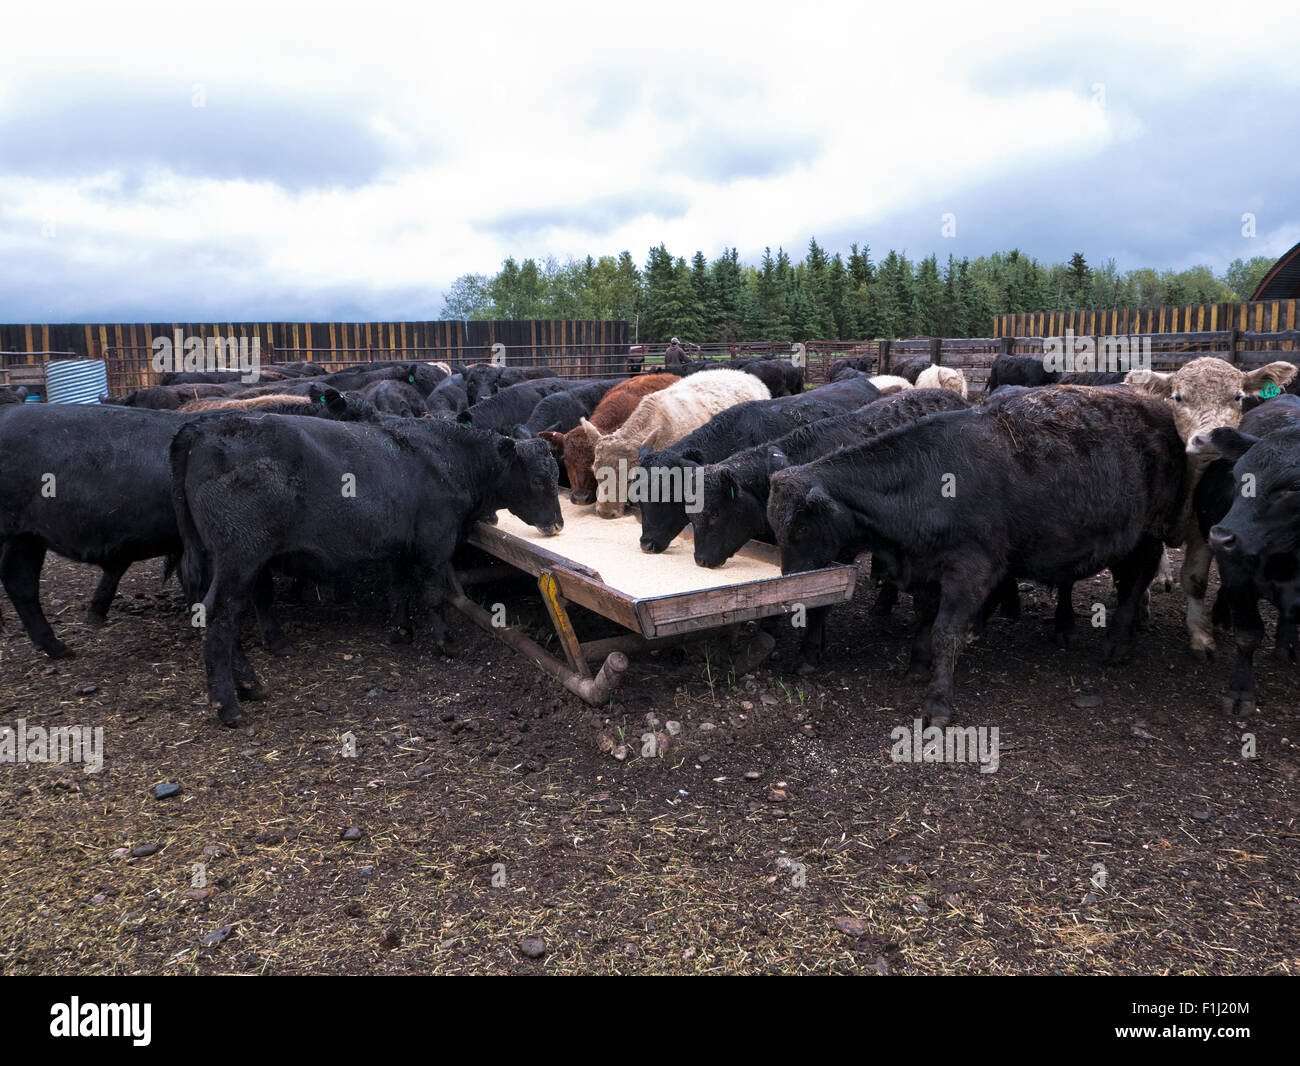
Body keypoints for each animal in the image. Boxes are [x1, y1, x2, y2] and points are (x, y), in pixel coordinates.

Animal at [169, 417, 562, 725]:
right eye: (541, 480)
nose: (558, 524)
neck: (449, 457)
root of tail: (202, 427)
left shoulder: (399, 547)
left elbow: (398, 589)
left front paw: (402, 631)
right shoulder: (435, 543)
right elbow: (433, 595)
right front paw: (446, 644)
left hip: (223, 561)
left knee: (220, 618)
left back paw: (250, 685)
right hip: (239, 559)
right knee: (220, 619)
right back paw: (229, 705)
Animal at [766, 386, 1185, 725]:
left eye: (801, 529)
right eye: (776, 529)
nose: (791, 584)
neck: (925, 480)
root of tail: (1155, 404)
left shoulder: (970, 569)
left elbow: (945, 632)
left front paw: (937, 702)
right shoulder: (927, 565)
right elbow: (925, 618)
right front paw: (918, 665)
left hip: (1150, 532)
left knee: (1136, 581)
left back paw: (1117, 642)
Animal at [1126, 356, 1298, 658]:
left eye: (1238, 396)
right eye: (1178, 397)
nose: (1207, 439)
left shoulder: (1203, 530)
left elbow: (1195, 580)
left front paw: (1200, 636)